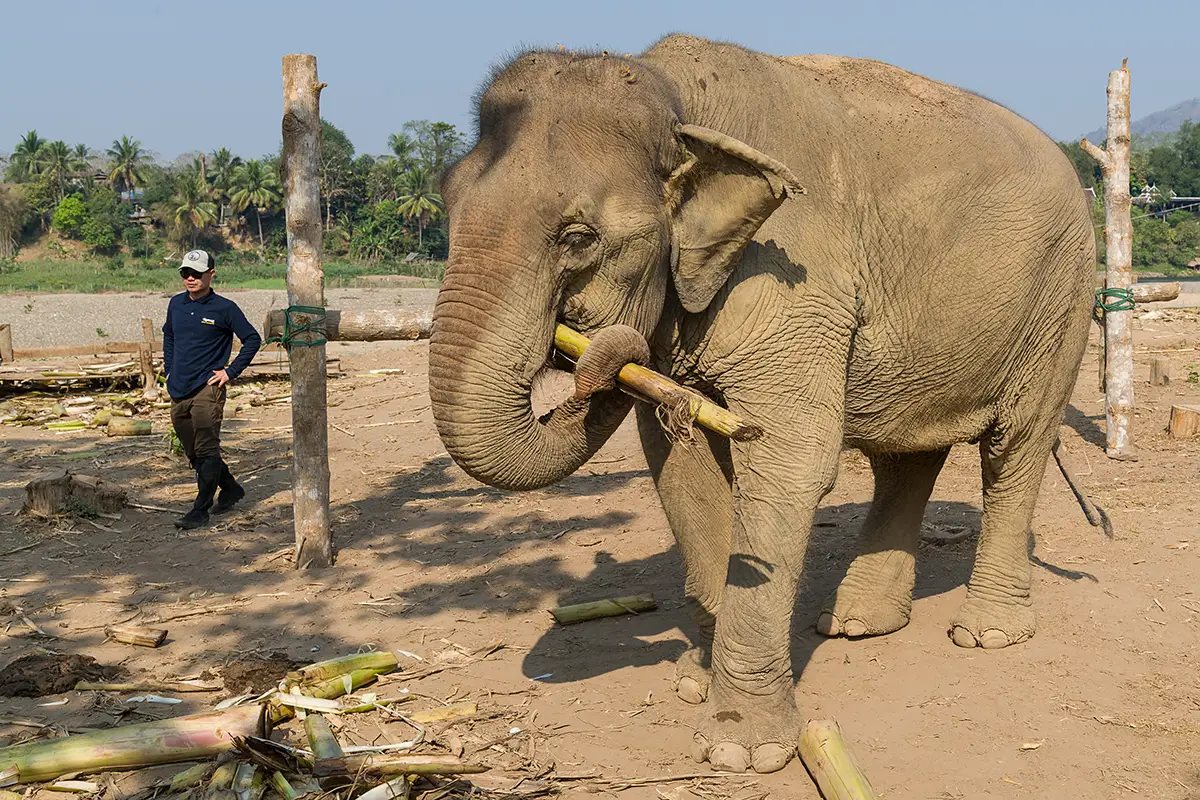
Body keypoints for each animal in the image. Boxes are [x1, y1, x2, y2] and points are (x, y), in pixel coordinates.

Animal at [428, 34, 1096, 774]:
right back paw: (856, 625)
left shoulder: (795, 278)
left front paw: (740, 749)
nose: (588, 345)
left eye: (578, 238)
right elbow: (682, 466)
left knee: (1019, 442)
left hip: (1062, 297)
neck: (678, 101)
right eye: (446, 206)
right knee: (905, 453)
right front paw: (696, 681)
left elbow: (788, 463)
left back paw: (985, 634)